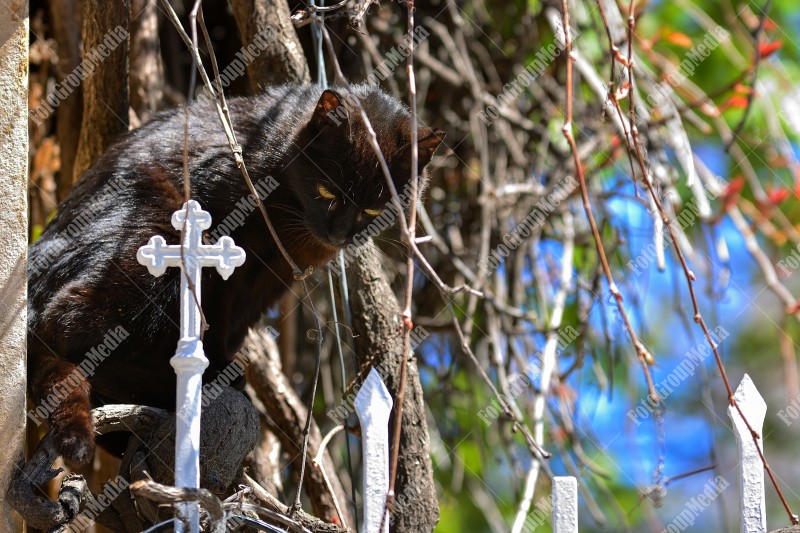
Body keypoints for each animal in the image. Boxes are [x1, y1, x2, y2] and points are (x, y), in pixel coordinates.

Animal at [29, 85, 444, 464]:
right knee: (69, 327)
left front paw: (220, 367)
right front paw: (214, 373)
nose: (339, 233)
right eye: (327, 191)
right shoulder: (227, 245)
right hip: (157, 236)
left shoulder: (272, 276)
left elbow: (232, 325)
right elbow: (215, 317)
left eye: (373, 209)